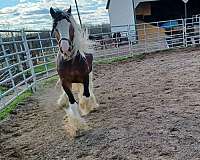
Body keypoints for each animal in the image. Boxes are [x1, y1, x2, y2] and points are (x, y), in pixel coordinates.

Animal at [49, 6, 99, 136]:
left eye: (70, 26)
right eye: (55, 27)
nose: (65, 48)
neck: (70, 61)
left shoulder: (85, 78)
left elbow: (85, 95)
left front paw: (86, 107)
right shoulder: (65, 82)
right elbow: (72, 102)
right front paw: (77, 125)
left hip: (90, 73)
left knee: (89, 89)